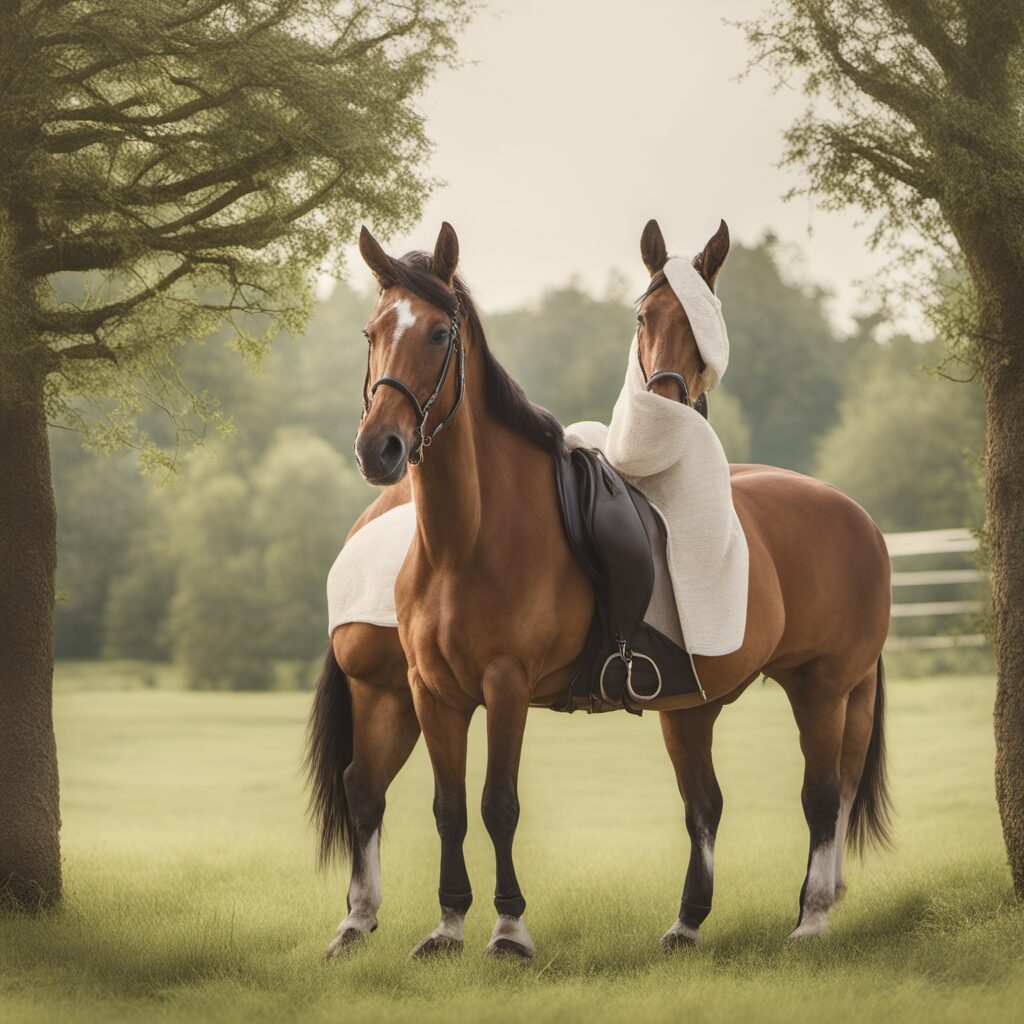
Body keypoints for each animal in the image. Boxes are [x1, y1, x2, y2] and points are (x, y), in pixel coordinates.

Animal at [306, 218, 892, 959]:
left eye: (439, 334)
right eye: (372, 330)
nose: (377, 448)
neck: (465, 540)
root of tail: (857, 515)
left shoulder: (506, 685)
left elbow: (498, 804)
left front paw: (509, 929)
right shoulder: (430, 690)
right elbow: (448, 806)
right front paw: (446, 925)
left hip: (823, 685)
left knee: (824, 795)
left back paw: (811, 915)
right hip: (693, 705)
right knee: (711, 803)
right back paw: (689, 923)